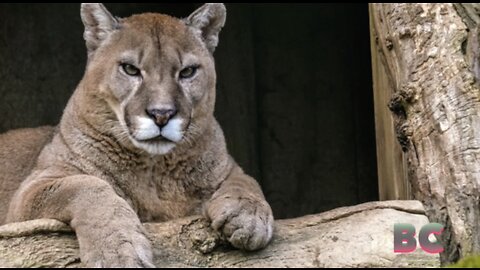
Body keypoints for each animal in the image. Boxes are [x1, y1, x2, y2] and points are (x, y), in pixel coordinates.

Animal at [0, 4, 274, 268]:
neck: (155, 169)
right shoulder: (31, 191)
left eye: (187, 72)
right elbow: (85, 186)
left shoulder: (228, 168)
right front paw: (117, 250)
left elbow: (247, 182)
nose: (162, 114)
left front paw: (249, 219)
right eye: (130, 69)